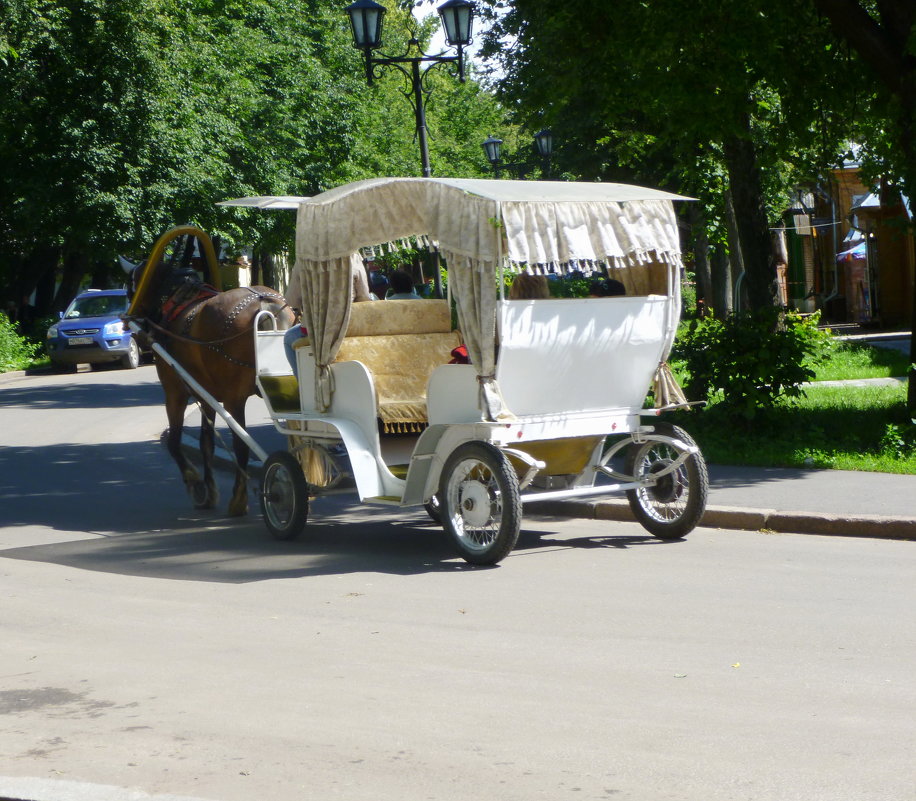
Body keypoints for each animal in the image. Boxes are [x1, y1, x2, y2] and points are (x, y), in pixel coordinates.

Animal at [129, 260, 292, 516]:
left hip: (234, 400)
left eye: (133, 282)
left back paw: (239, 500)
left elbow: (174, 442)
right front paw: (208, 490)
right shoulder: (206, 398)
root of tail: (264, 303)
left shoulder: (174, 392)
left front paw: (196, 484)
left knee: (241, 445)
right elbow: (206, 444)